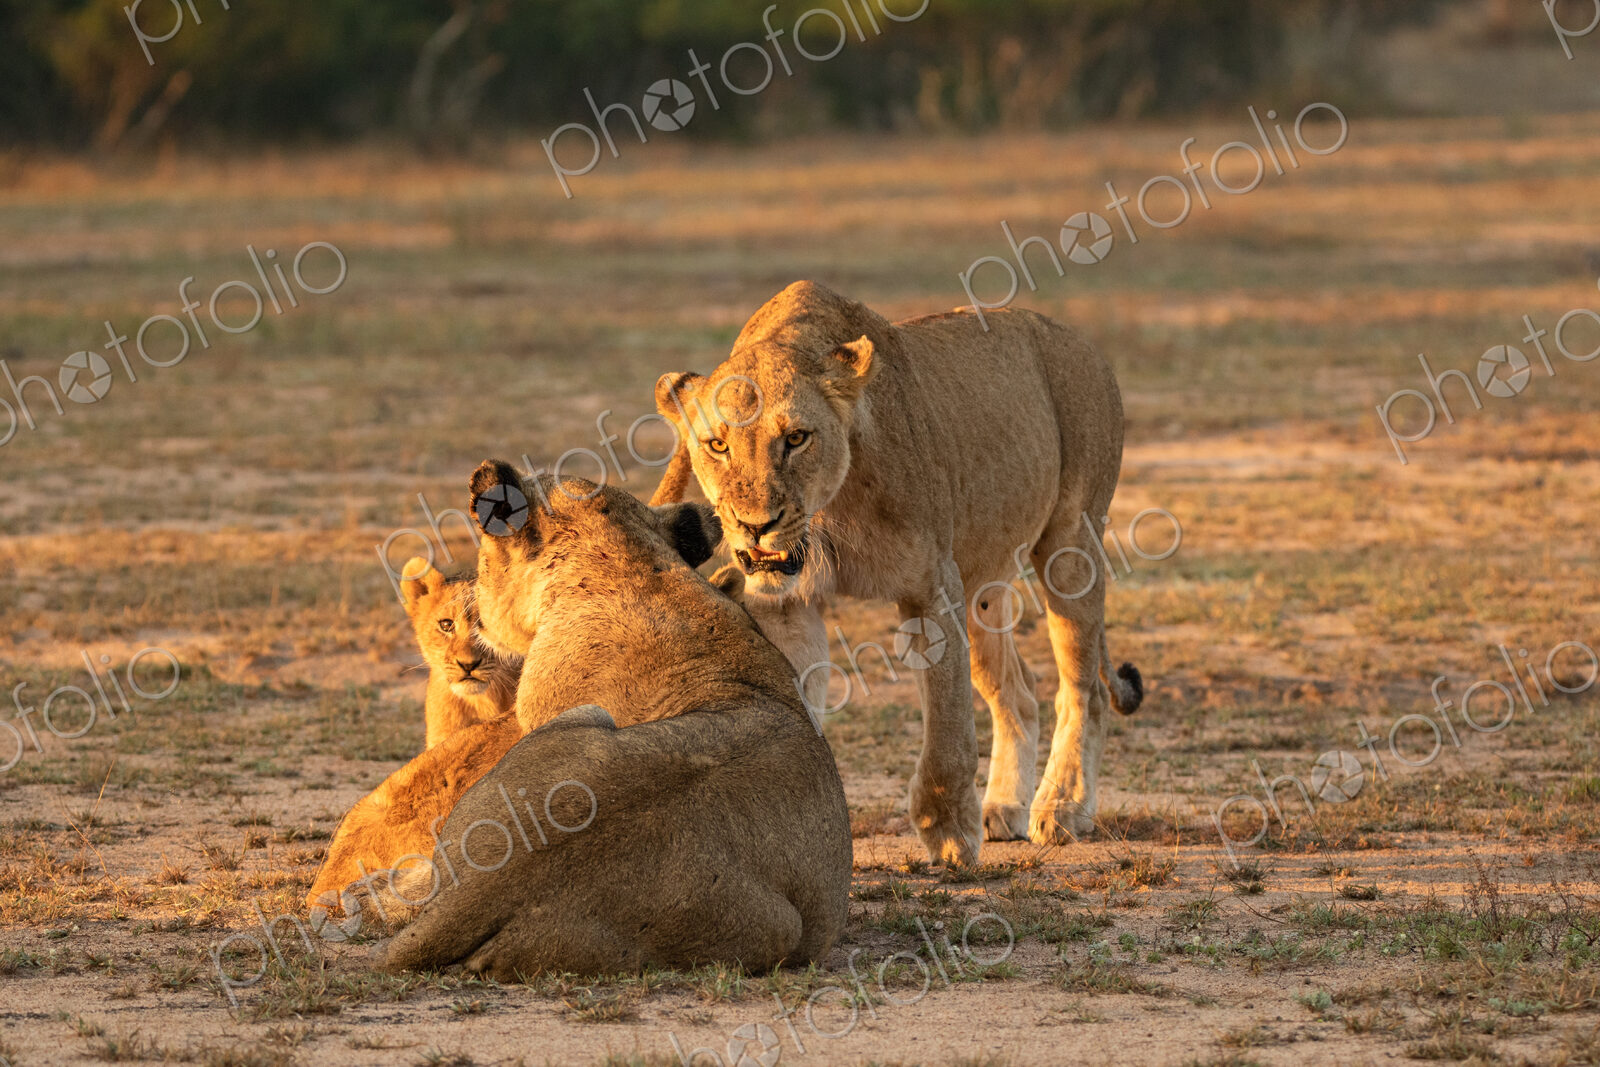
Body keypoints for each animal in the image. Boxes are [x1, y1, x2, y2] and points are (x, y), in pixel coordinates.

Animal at [651, 281, 1144, 864]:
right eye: (718, 445)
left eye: (796, 438)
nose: (755, 525)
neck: (829, 509)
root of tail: (1080, 339)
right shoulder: (787, 605)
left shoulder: (932, 587)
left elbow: (948, 730)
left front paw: (949, 833)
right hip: (982, 586)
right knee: (1018, 693)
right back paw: (1005, 807)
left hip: (1071, 546)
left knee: (1084, 689)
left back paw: (1063, 808)